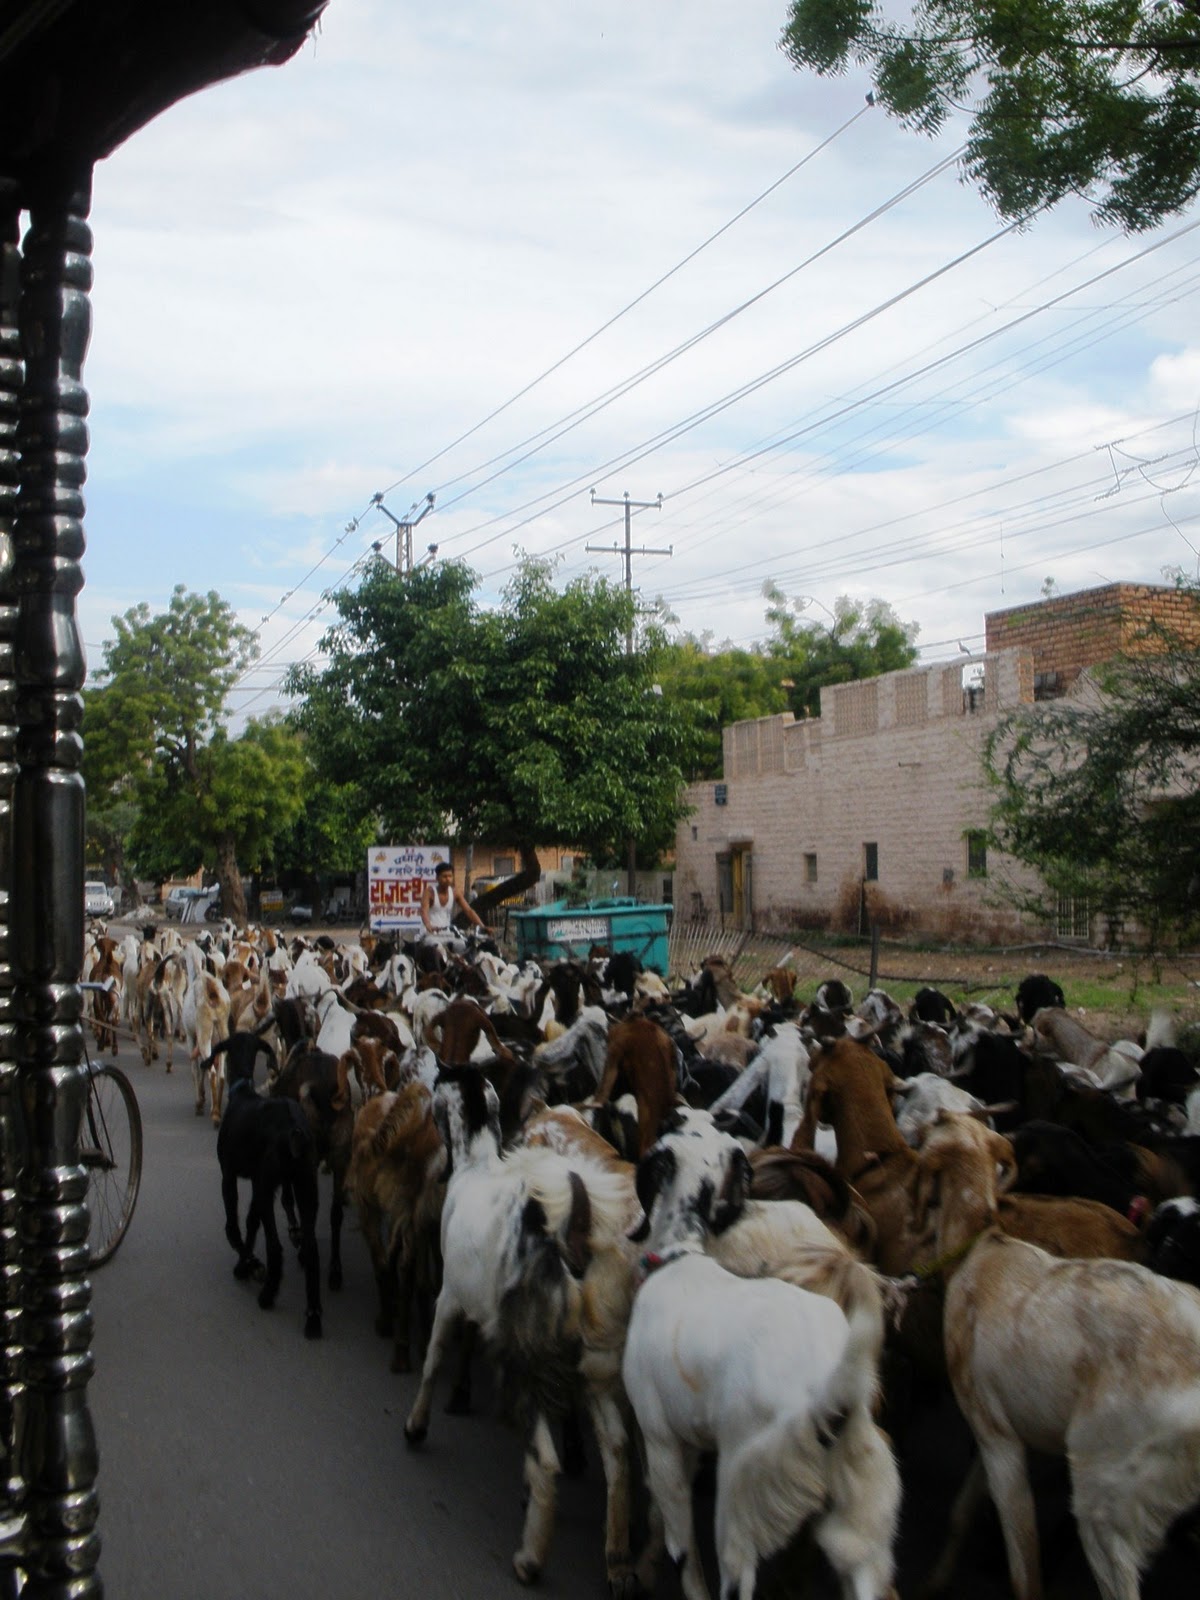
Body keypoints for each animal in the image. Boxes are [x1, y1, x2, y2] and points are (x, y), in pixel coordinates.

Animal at [206, 1024, 324, 1337]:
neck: (242, 1093)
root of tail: (294, 1130)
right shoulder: (262, 1184)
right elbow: (251, 1221)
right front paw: (246, 1264)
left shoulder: (230, 1175)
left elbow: (233, 1226)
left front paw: (248, 1264)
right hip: (306, 1187)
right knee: (311, 1249)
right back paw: (313, 1316)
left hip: (271, 1182)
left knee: (275, 1245)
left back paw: (268, 1294)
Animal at [624, 1113, 896, 1600]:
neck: (681, 1254)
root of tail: (834, 1397)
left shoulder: (662, 1444)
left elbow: (685, 1557)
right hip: (859, 1526)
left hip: (742, 1504)